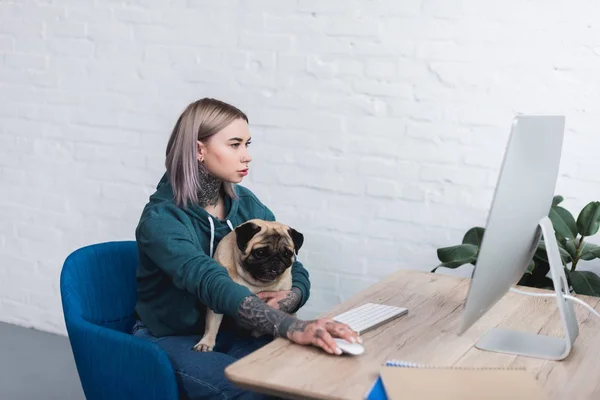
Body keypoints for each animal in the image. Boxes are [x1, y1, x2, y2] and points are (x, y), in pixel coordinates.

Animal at [193, 219, 304, 354]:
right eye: (260, 252)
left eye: (287, 254)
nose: (276, 259)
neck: (256, 282)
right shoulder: (216, 300)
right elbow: (212, 325)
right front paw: (206, 343)